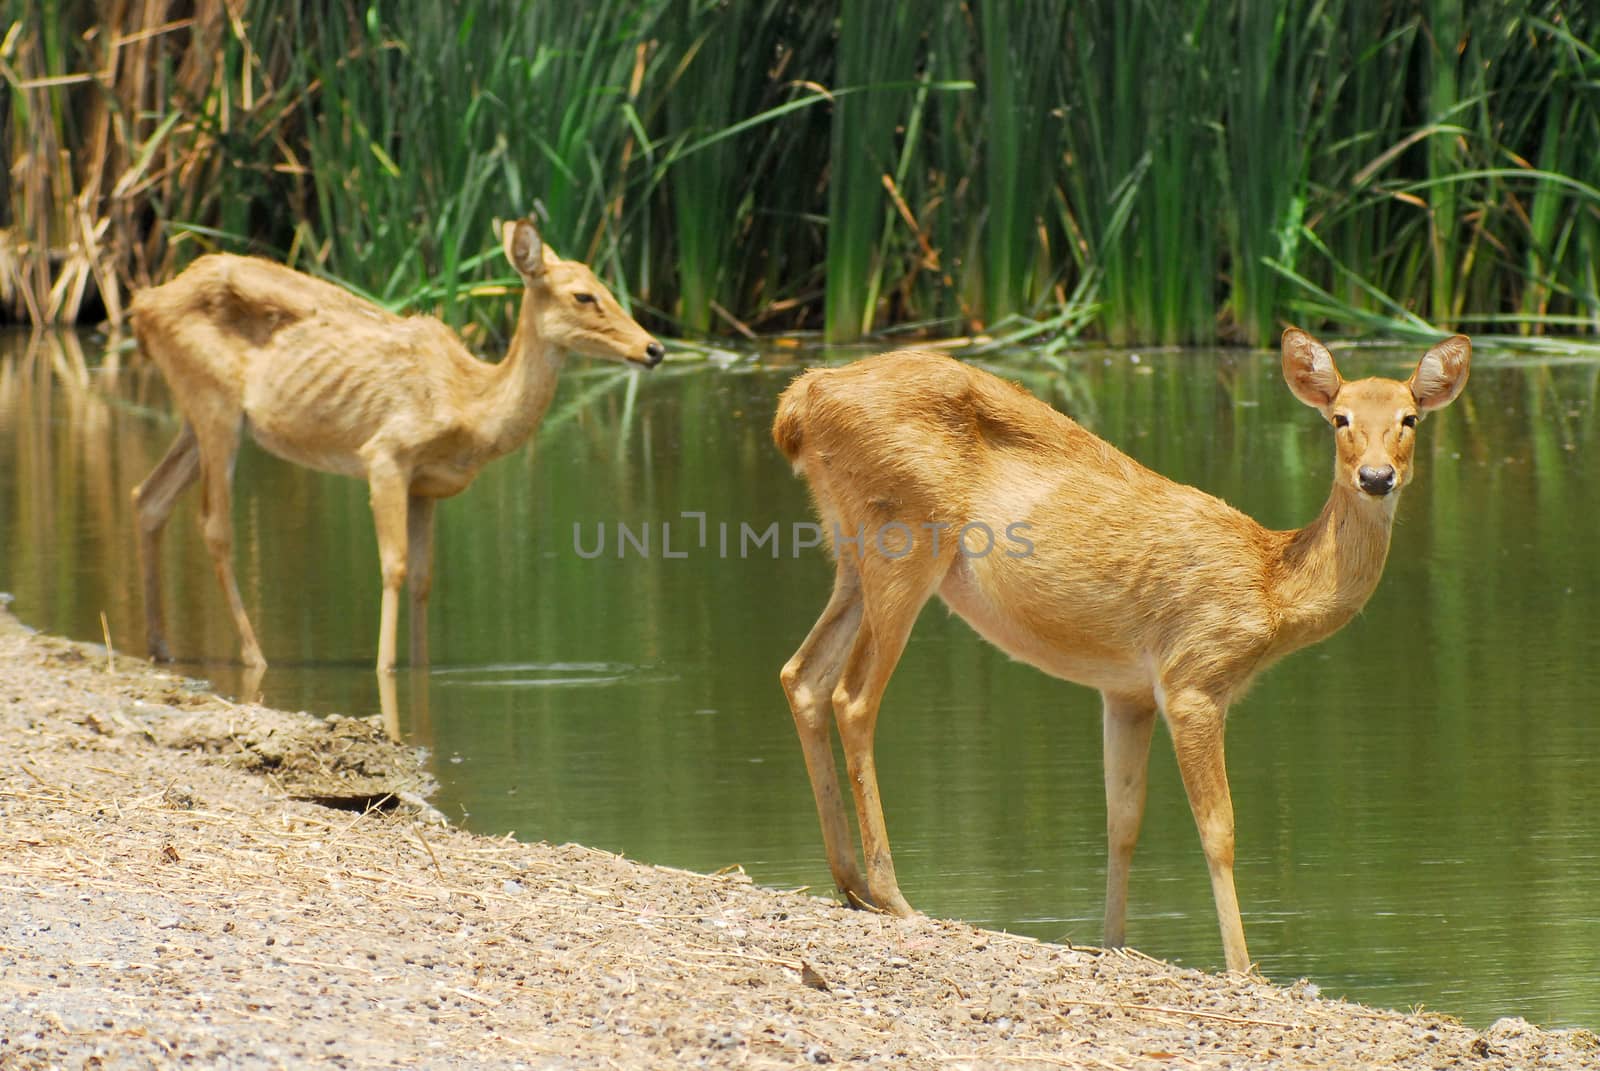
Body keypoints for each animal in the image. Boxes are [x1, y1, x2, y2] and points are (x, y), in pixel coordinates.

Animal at [123, 216, 662, 669]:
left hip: (195, 417)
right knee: (214, 526)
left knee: (149, 497)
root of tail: (139, 307)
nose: (654, 348)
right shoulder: (385, 454)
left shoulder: (426, 485)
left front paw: (419, 667)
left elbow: (423, 578)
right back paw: (254, 656)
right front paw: (385, 668)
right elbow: (394, 566)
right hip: (215, 404)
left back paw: (160, 647)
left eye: (607, 286)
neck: (472, 407)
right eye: (583, 296)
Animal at [768, 329, 1465, 973]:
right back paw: (893, 895)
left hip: (849, 548)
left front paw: (1112, 942)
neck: (1273, 587)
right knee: (853, 697)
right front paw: (1244, 968)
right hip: (904, 537)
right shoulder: (1193, 677)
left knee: (801, 674)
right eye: (1339, 417)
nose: (1376, 477)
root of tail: (800, 400)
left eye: (1410, 418)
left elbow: (1122, 820)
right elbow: (1219, 828)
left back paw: (850, 883)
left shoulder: (1127, 690)